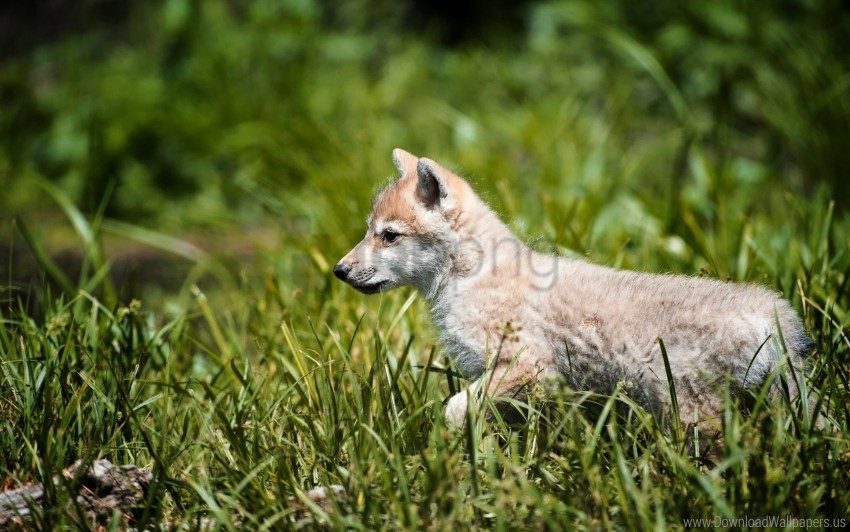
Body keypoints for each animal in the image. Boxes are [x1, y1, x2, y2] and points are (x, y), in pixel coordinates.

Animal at [332, 148, 816, 430]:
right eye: (369, 231)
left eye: (388, 236)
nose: (339, 270)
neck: (470, 276)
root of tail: (775, 314)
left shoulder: (527, 364)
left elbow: (453, 410)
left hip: (691, 408)